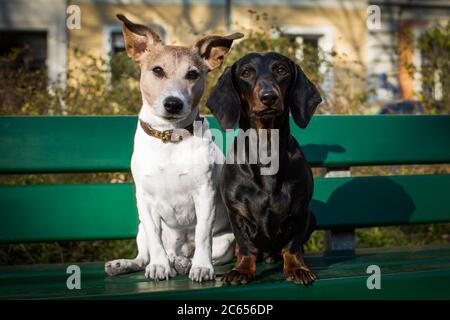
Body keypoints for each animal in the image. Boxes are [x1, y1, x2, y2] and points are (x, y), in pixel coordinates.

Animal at [105, 13, 243, 282]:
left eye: (192, 74)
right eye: (157, 70)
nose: (173, 103)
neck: (170, 137)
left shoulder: (205, 195)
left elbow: (202, 235)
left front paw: (202, 267)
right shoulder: (144, 200)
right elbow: (154, 240)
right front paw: (159, 266)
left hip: (227, 240)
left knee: (198, 251)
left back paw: (184, 262)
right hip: (141, 230)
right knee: (144, 256)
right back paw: (128, 264)